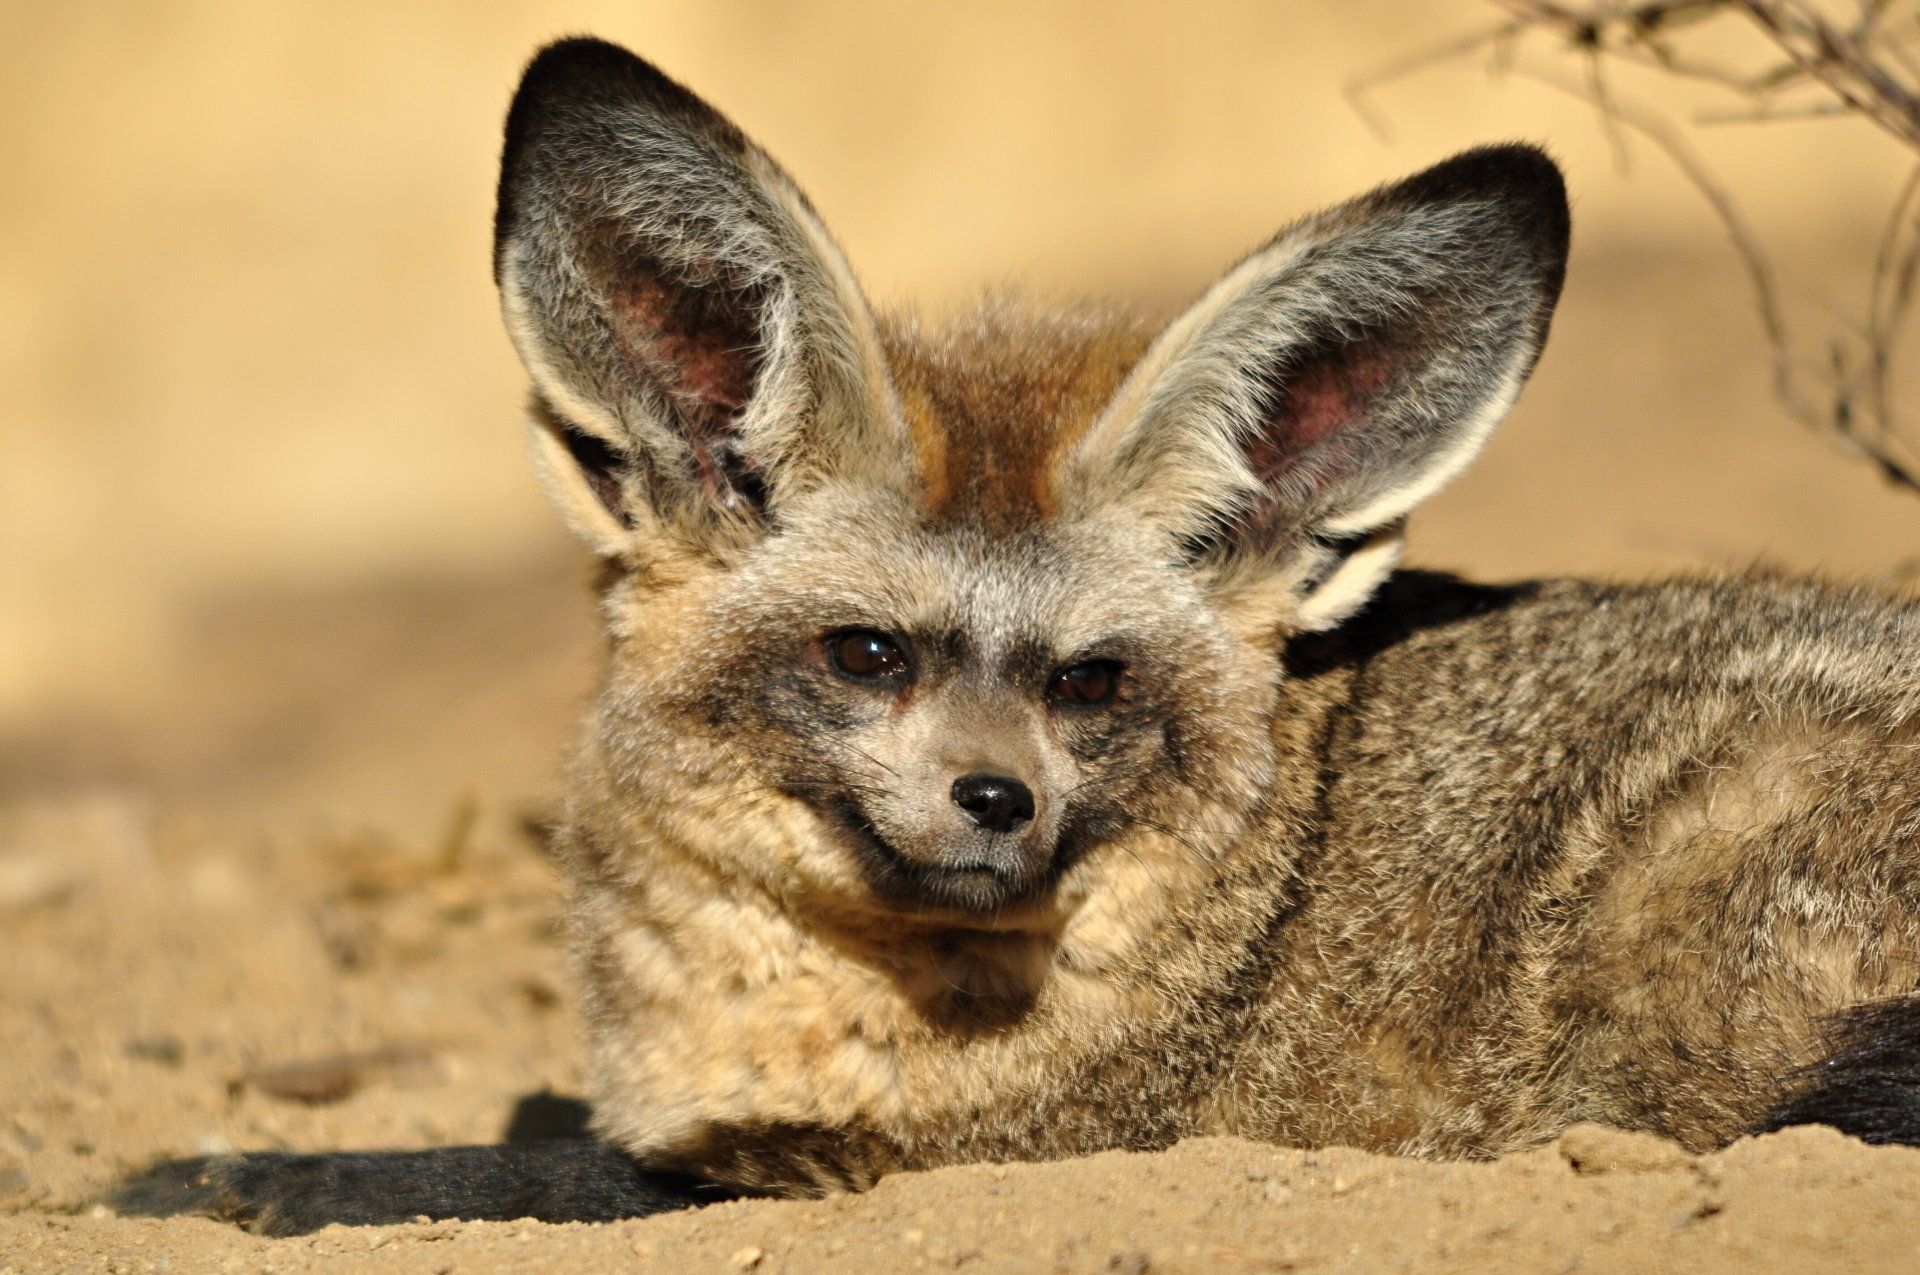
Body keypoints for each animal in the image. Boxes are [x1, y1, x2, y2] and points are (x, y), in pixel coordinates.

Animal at [112, 37, 1920, 1236]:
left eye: (1088, 682)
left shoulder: (898, 1156)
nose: (1000, 804)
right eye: (867, 656)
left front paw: (218, 1168)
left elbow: (506, 1163)